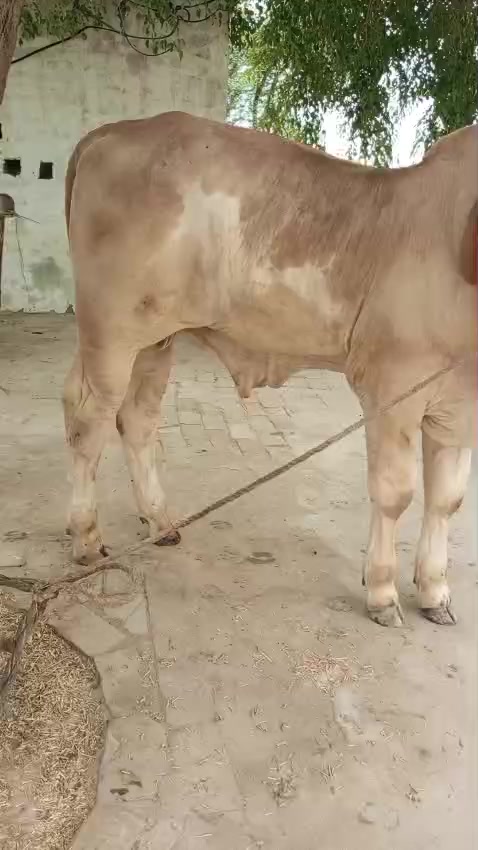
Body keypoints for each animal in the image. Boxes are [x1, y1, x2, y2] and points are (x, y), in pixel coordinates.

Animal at [63, 111, 477, 628]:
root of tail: (111, 131)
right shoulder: (392, 388)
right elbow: (396, 492)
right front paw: (382, 591)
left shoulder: (458, 405)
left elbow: (447, 498)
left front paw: (434, 590)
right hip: (110, 334)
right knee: (88, 424)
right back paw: (86, 537)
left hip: (153, 340)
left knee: (134, 419)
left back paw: (160, 522)